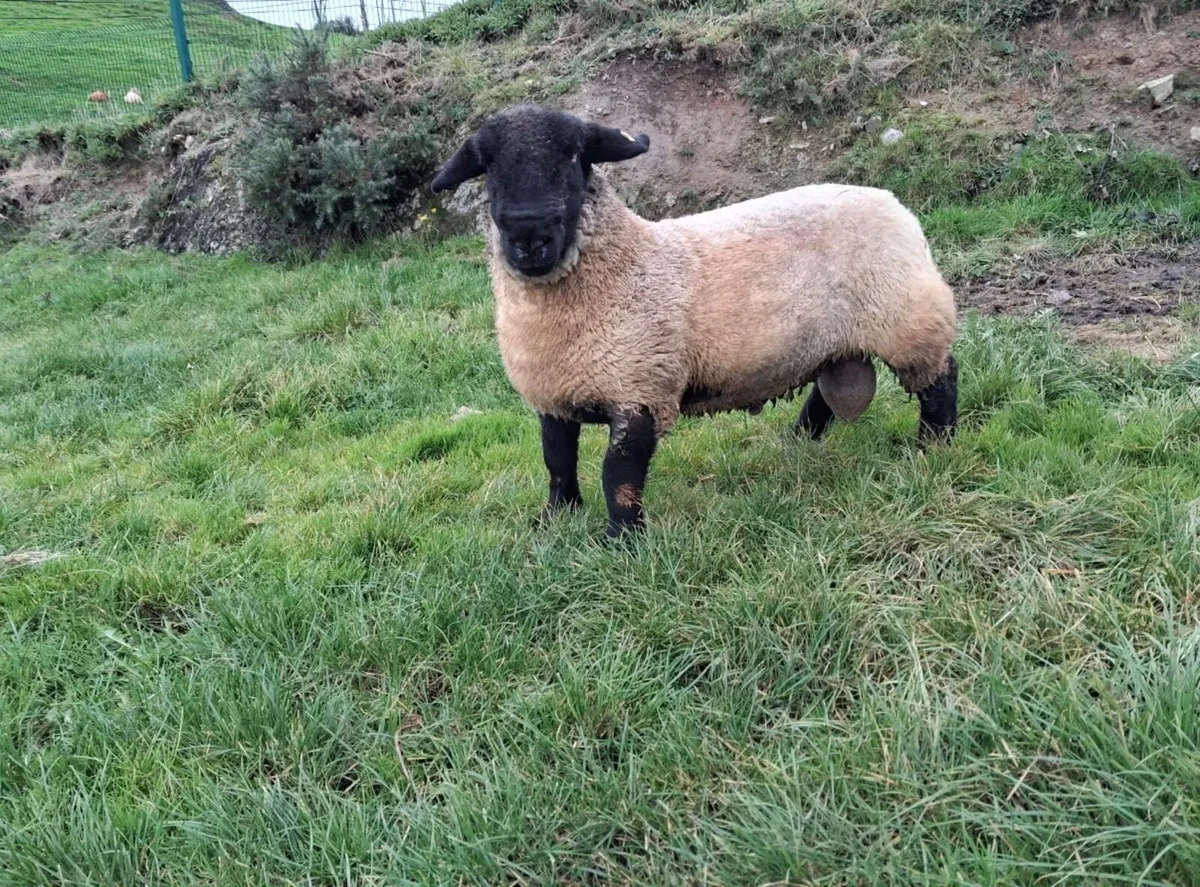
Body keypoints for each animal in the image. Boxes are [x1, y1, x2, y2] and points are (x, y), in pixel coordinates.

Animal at [430, 104, 959, 538]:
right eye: (489, 168)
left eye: (574, 157)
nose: (529, 235)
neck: (625, 265)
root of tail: (892, 202)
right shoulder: (554, 394)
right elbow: (557, 460)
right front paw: (556, 520)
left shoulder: (642, 388)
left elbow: (618, 476)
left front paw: (621, 541)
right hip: (837, 339)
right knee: (825, 390)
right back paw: (799, 442)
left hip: (909, 319)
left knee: (941, 380)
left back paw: (934, 446)